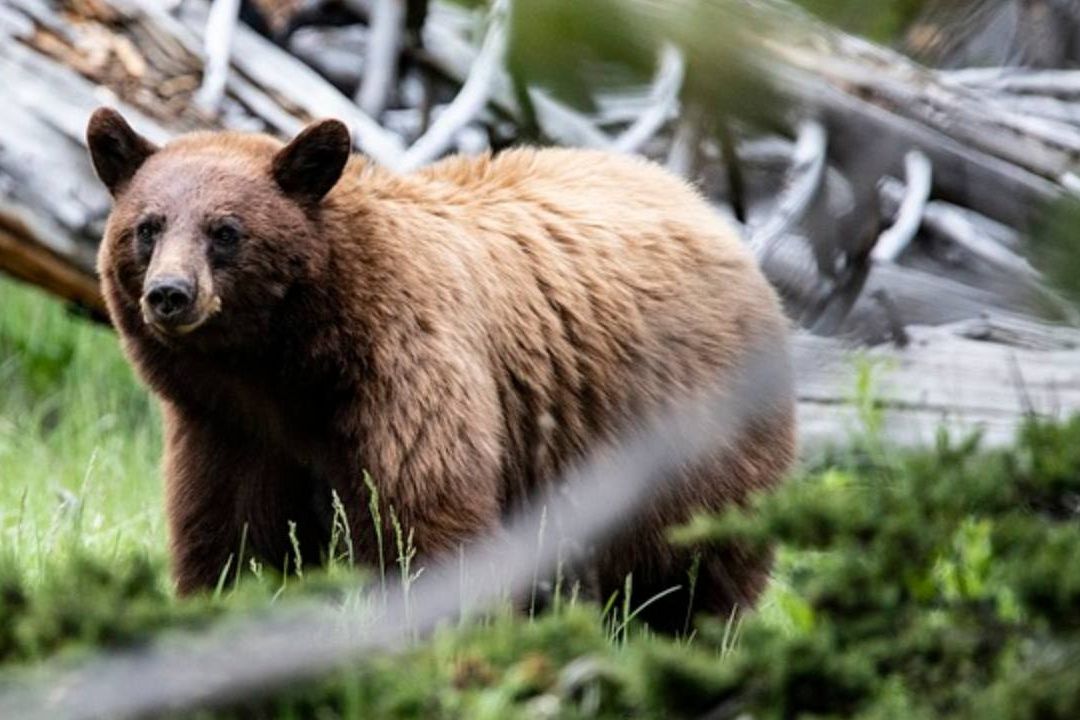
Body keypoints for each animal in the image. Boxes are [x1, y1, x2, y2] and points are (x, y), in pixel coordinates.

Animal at [85, 107, 796, 632]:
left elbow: (425, 516)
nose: (170, 294)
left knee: (695, 566)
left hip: (688, 428)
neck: (285, 364)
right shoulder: (228, 427)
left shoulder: (406, 366)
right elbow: (231, 535)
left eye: (226, 231)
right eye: (148, 227)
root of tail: (709, 213)